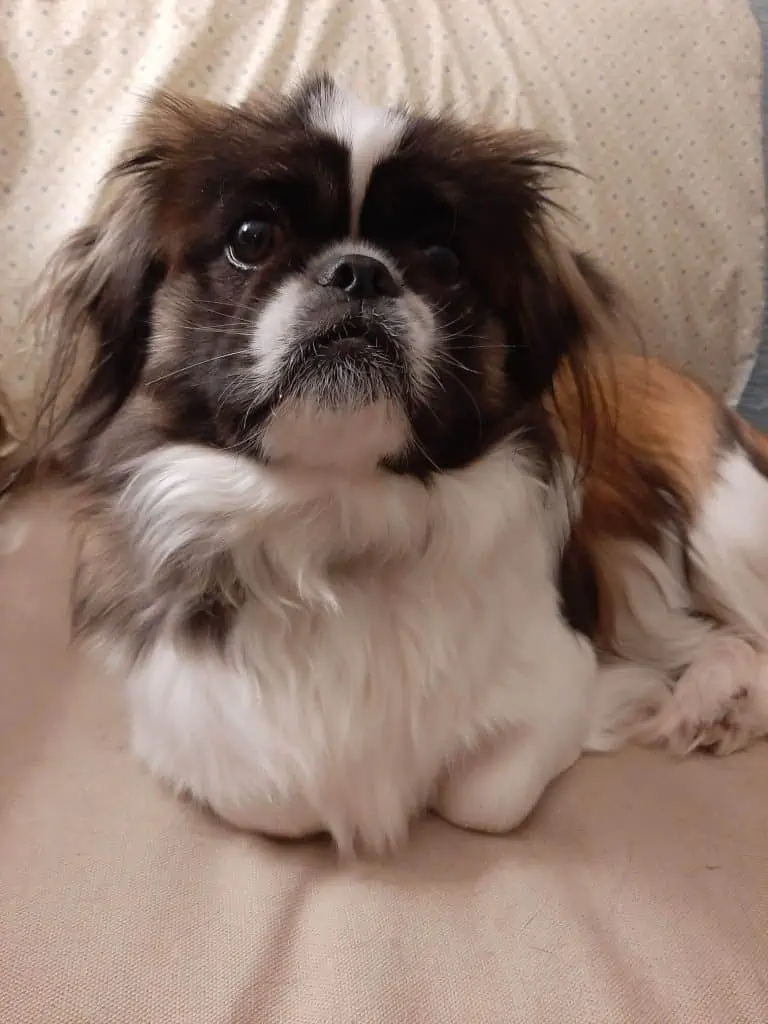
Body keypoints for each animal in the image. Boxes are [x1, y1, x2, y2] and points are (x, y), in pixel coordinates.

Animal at [24, 75, 768, 851]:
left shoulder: (559, 679)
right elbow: (276, 798)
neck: (337, 509)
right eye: (251, 239)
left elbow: (484, 798)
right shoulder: (187, 722)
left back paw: (716, 699)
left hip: (730, 528)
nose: (358, 272)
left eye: (443, 261)